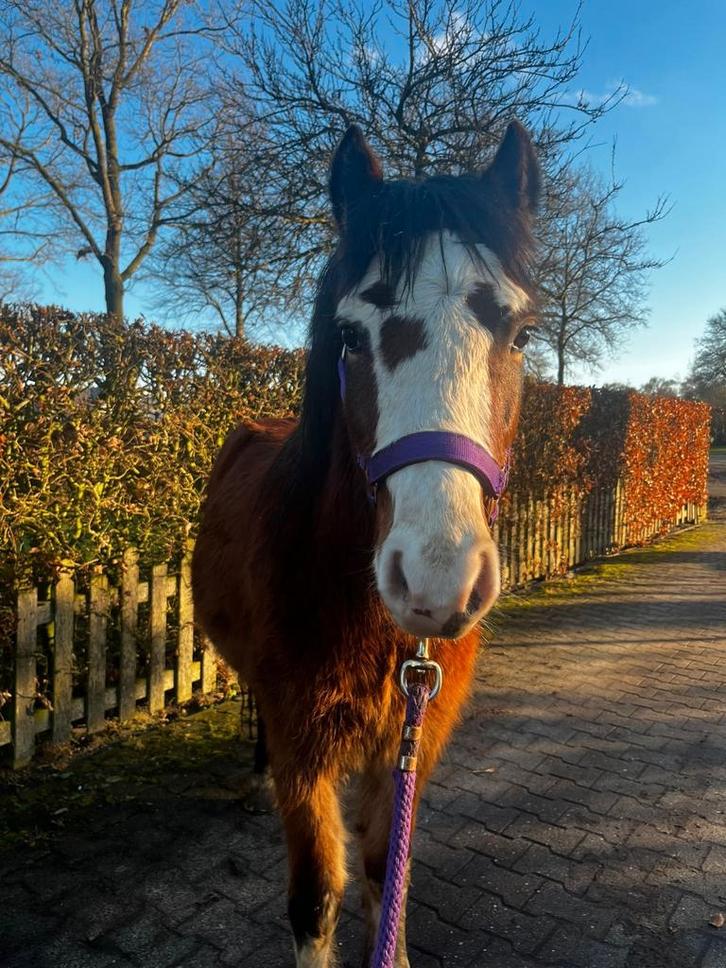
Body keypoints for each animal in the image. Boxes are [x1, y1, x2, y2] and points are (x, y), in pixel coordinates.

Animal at [192, 119, 541, 967]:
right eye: (350, 335)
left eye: (521, 334)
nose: (437, 580)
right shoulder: (305, 750)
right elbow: (316, 899)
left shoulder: (404, 746)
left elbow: (389, 873)